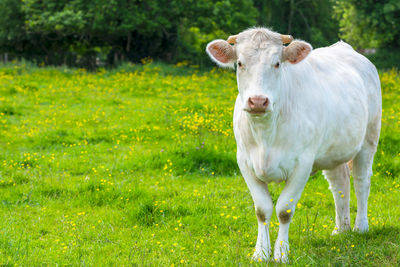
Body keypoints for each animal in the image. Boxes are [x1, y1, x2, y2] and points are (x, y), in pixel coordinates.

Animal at [206, 28, 382, 262]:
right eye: (240, 63)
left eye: (277, 63)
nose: (258, 101)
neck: (265, 135)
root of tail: (345, 48)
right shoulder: (244, 161)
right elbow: (262, 209)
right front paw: (260, 253)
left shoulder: (303, 164)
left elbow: (284, 210)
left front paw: (281, 254)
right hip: (333, 150)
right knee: (340, 184)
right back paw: (340, 229)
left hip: (369, 138)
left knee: (362, 182)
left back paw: (360, 227)